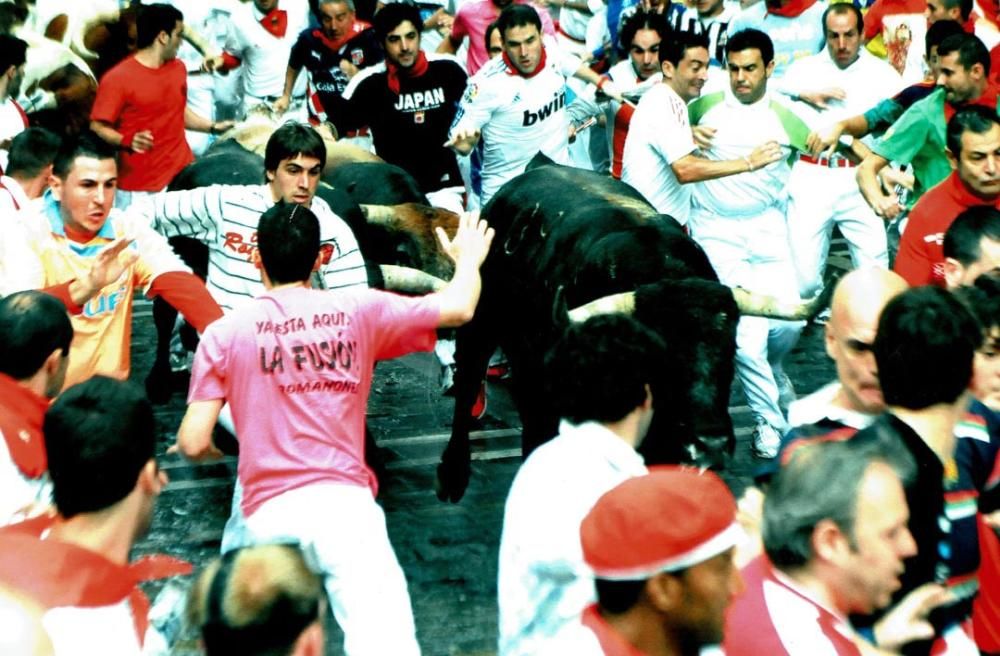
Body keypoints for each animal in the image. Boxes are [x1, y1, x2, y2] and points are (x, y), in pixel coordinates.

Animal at [434, 159, 740, 502]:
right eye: (662, 355)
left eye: (732, 349)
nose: (709, 445)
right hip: (481, 326)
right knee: (469, 384)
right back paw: (452, 476)